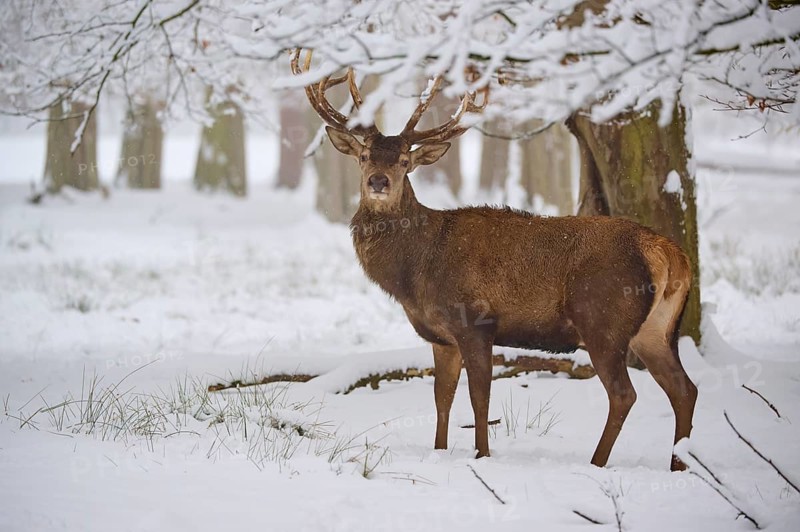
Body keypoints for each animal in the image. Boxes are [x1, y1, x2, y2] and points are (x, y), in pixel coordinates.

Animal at [291, 50, 698, 471]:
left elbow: (479, 398)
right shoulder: (441, 337)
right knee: (685, 389)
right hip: (656, 330)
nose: (378, 181)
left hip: (603, 319)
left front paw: (481, 455)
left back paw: (597, 462)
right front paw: (439, 451)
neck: (416, 270)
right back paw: (679, 464)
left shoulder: (475, 323)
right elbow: (442, 398)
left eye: (404, 161)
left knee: (624, 394)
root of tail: (669, 252)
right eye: (364, 156)